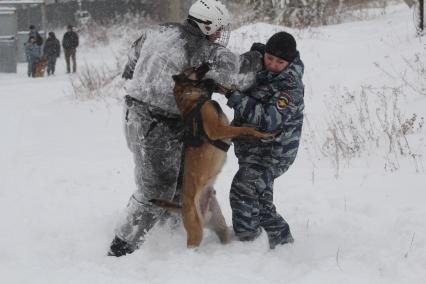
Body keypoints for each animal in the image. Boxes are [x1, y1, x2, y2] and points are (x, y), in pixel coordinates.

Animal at [151, 63, 274, 247]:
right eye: (194, 68)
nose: (207, 63)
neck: (194, 101)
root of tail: (183, 206)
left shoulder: (225, 129)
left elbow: (244, 130)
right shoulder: (218, 129)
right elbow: (246, 129)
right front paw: (267, 135)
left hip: (218, 223)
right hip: (196, 232)